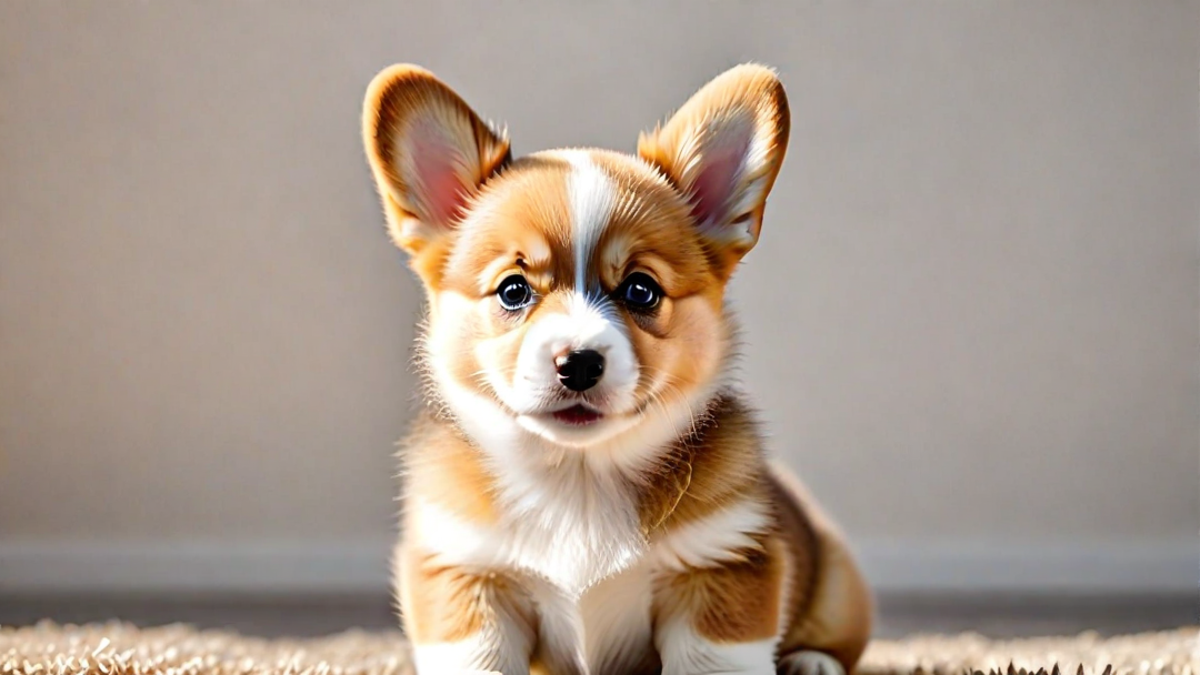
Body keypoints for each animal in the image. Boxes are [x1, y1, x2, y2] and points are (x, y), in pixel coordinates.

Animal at [357, 63, 873, 672]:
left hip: (838, 581)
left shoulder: (721, 572)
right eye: (513, 290)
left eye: (640, 290)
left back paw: (811, 660)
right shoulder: (468, 578)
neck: (578, 480)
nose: (578, 363)